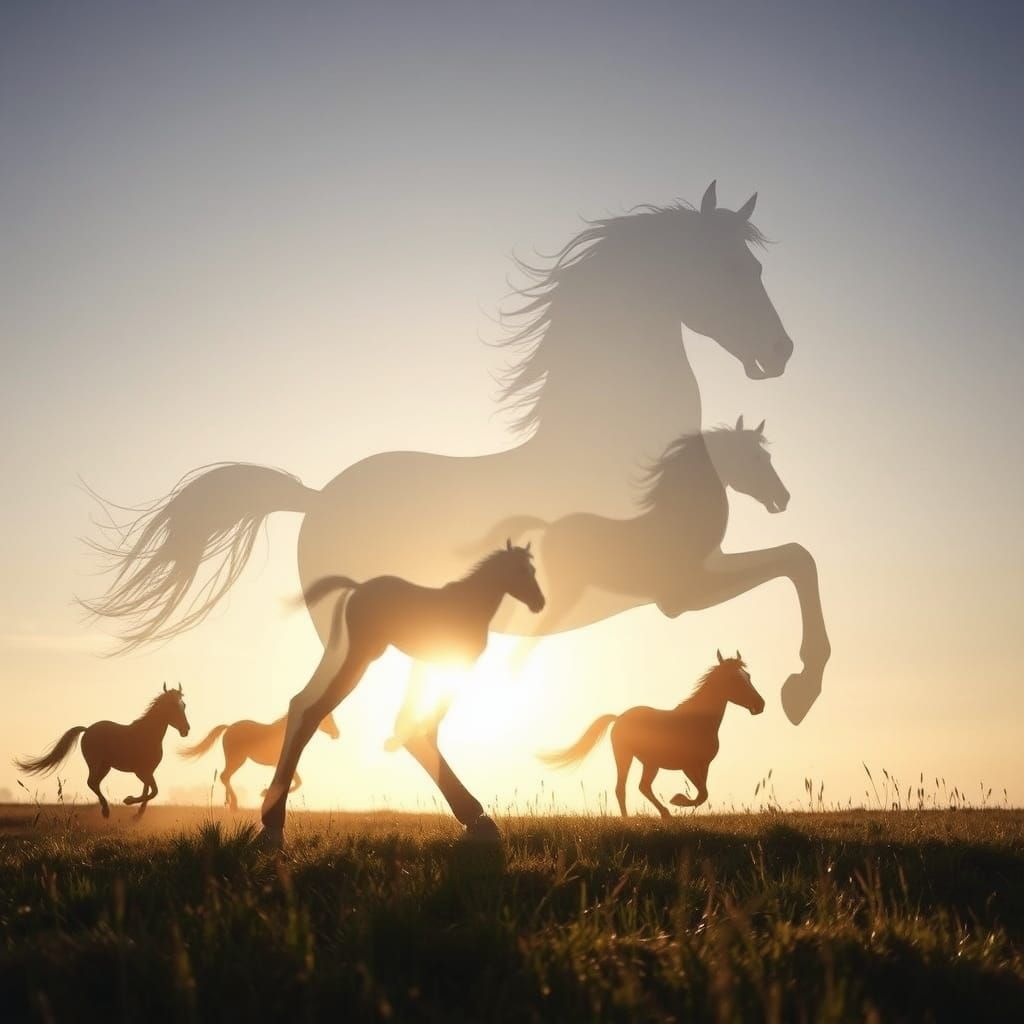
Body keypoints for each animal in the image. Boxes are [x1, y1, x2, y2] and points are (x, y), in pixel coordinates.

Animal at [14, 684, 191, 818]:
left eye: (183, 705)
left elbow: (149, 791)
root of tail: (87, 730)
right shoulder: (141, 772)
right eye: (172, 705)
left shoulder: (148, 772)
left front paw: (138, 815)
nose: (186, 729)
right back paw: (106, 811)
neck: (147, 735)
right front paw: (128, 801)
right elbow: (153, 791)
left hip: (105, 766)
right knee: (91, 782)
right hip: (96, 764)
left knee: (95, 783)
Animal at [179, 711, 340, 810]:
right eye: (328, 718)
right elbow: (296, 782)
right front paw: (264, 794)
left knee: (225, 777)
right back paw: (234, 805)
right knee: (224, 776)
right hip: (237, 759)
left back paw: (228, 803)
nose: (336, 734)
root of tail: (228, 728)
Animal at [260, 541, 545, 845]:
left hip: (358, 654)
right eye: (520, 571)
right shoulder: (450, 662)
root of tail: (357, 587)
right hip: (363, 654)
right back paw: (273, 824)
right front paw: (473, 815)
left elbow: (416, 721)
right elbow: (424, 723)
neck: (471, 602)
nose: (539, 603)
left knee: (301, 703)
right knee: (312, 709)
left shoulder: (432, 661)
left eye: (533, 570)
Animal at [473, 418, 829, 721]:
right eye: (756, 457)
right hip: (563, 601)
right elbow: (795, 558)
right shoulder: (684, 597)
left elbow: (796, 558)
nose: (783, 498)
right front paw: (802, 691)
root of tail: (548, 529)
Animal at [539, 651, 763, 818]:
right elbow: (702, 794)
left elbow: (703, 794)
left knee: (643, 787)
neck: (698, 722)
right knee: (623, 788)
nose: (760, 705)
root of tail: (619, 717)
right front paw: (677, 799)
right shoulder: (689, 766)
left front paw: (677, 801)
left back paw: (664, 815)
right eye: (733, 678)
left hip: (650, 763)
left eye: (749, 677)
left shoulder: (703, 765)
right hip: (625, 756)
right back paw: (633, 819)